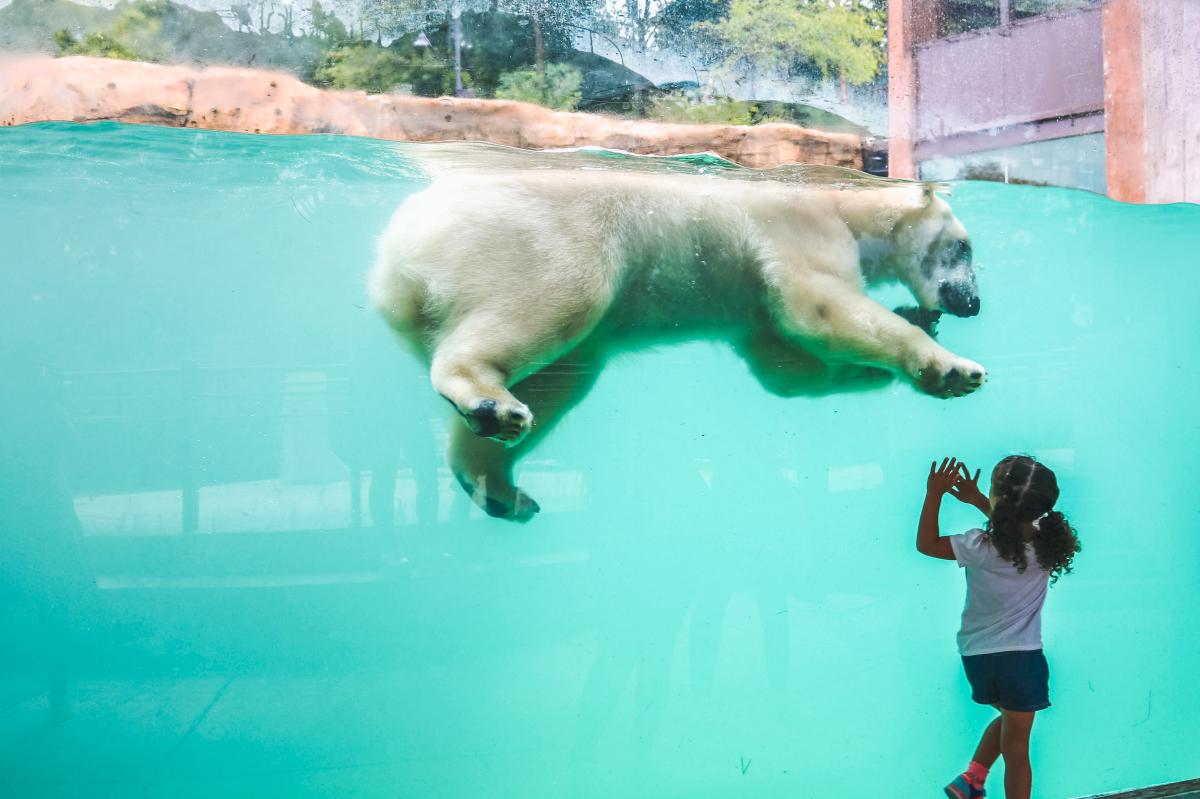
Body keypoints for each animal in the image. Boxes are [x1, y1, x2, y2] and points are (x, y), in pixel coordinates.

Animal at [372, 158, 984, 520]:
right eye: (965, 247)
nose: (973, 303)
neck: (845, 204)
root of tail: (394, 262)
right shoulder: (802, 228)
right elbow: (814, 309)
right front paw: (952, 368)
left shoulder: (752, 309)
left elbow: (781, 368)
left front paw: (914, 322)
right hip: (534, 237)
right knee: (563, 297)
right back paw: (487, 400)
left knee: (560, 379)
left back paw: (499, 485)